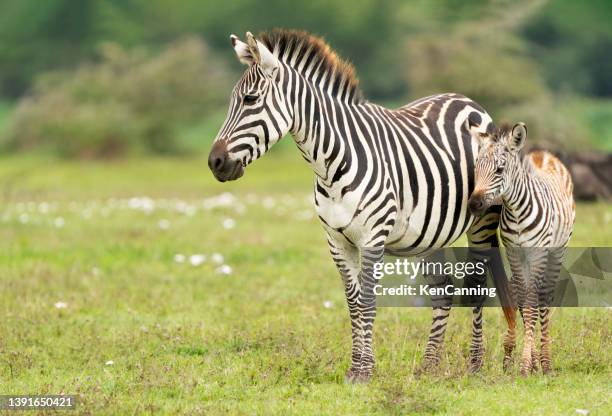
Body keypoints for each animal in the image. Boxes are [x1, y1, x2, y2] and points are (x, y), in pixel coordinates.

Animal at [208, 27, 512, 382]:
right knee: (443, 288)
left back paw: (475, 365)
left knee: (476, 285)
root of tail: (466, 100)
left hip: (481, 222)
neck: (329, 164)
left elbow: (367, 299)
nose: (215, 162)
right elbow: (353, 302)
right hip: (428, 233)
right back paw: (429, 365)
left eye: (250, 100)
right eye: (234, 100)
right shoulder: (337, 241)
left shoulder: (372, 237)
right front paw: (356, 367)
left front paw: (365, 371)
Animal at [468, 122, 572, 376]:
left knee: (545, 297)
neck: (515, 211)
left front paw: (526, 365)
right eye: (476, 168)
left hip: (556, 251)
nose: (474, 204)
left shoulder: (537, 252)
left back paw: (547, 363)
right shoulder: (514, 252)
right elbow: (521, 300)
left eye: (499, 169)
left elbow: (532, 304)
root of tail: (544, 153)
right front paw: (518, 359)